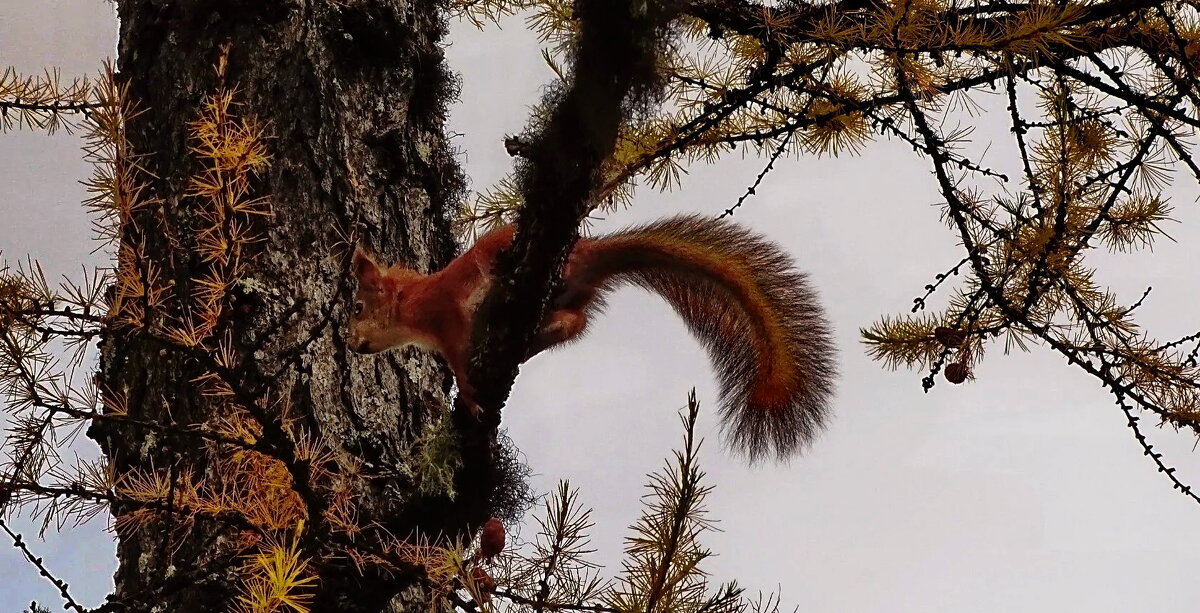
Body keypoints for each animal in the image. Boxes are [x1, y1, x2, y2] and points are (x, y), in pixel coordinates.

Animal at [348, 215, 835, 460]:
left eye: (356, 308)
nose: (352, 344)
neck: (411, 303)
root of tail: (588, 253)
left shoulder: (446, 314)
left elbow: (459, 359)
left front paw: (467, 394)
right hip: (569, 302)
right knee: (575, 322)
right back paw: (532, 344)